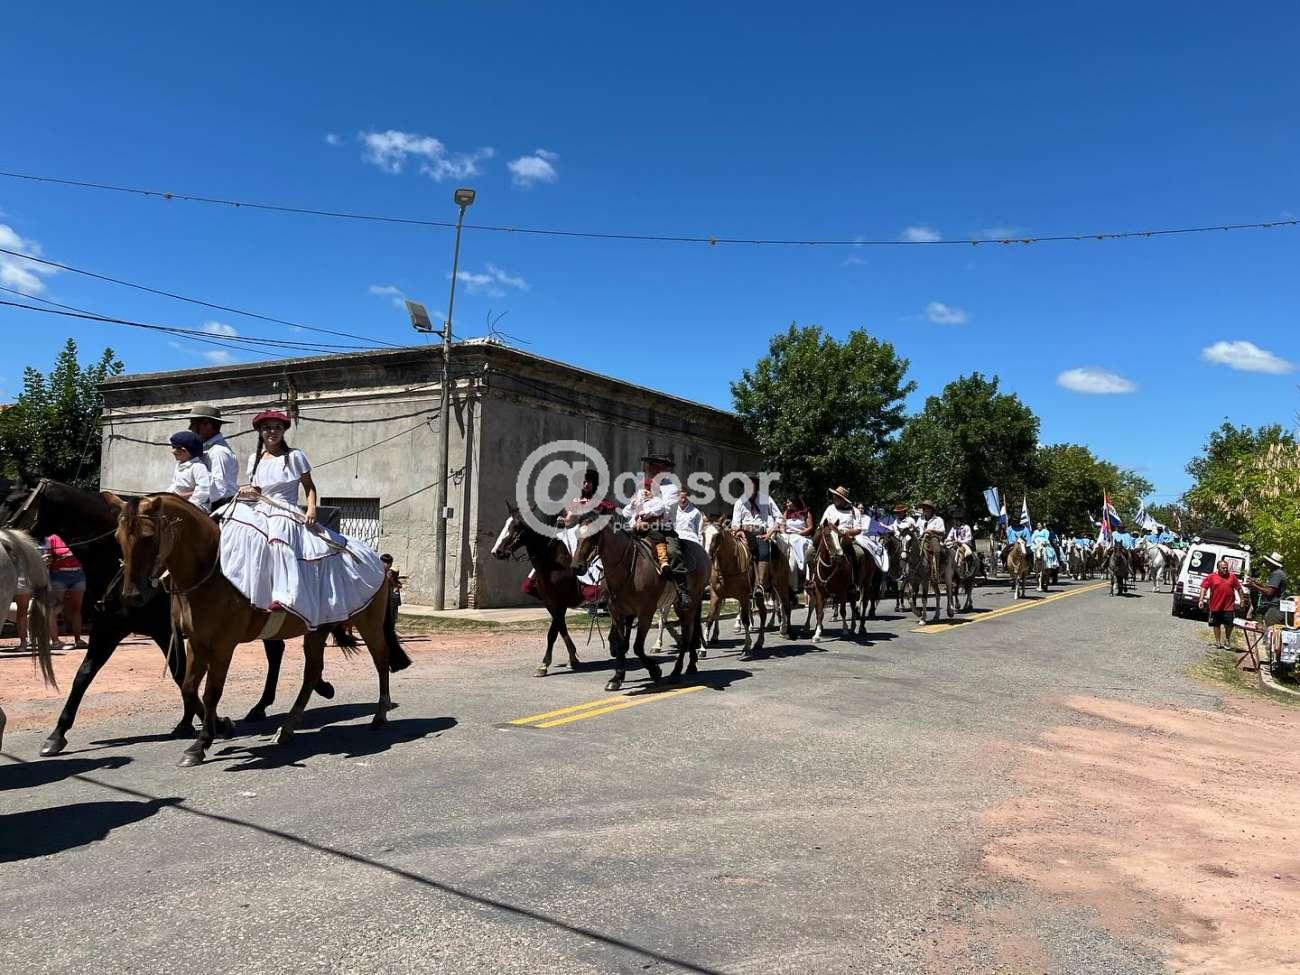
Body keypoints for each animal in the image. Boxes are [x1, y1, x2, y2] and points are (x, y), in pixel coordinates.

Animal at [0, 478, 335, 757]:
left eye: (12, 503)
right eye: (119, 537)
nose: (3, 541)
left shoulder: (163, 630)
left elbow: (179, 673)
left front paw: (215, 724)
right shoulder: (109, 629)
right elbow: (84, 675)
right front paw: (57, 734)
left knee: (280, 653)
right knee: (277, 650)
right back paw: (274, 701)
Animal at [110, 493, 405, 767]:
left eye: (148, 537)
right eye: (117, 537)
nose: (131, 596)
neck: (210, 571)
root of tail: (378, 562)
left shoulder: (223, 645)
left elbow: (211, 692)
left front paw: (201, 744)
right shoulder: (196, 641)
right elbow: (189, 688)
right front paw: (222, 727)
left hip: (368, 623)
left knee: (381, 661)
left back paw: (380, 715)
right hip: (317, 630)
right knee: (312, 672)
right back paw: (287, 728)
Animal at [490, 504, 595, 677]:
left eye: (516, 526)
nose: (496, 551)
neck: (554, 562)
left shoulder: (560, 602)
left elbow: (553, 632)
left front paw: (544, 664)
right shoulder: (550, 602)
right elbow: (560, 629)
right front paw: (572, 659)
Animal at [573, 518, 709, 692]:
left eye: (593, 535)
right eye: (576, 534)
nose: (577, 566)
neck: (628, 568)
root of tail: (702, 551)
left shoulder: (646, 612)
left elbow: (637, 647)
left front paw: (655, 670)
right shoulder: (617, 612)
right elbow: (622, 645)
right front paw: (617, 678)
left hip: (687, 606)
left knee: (686, 637)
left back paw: (677, 672)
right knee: (692, 632)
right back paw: (691, 665)